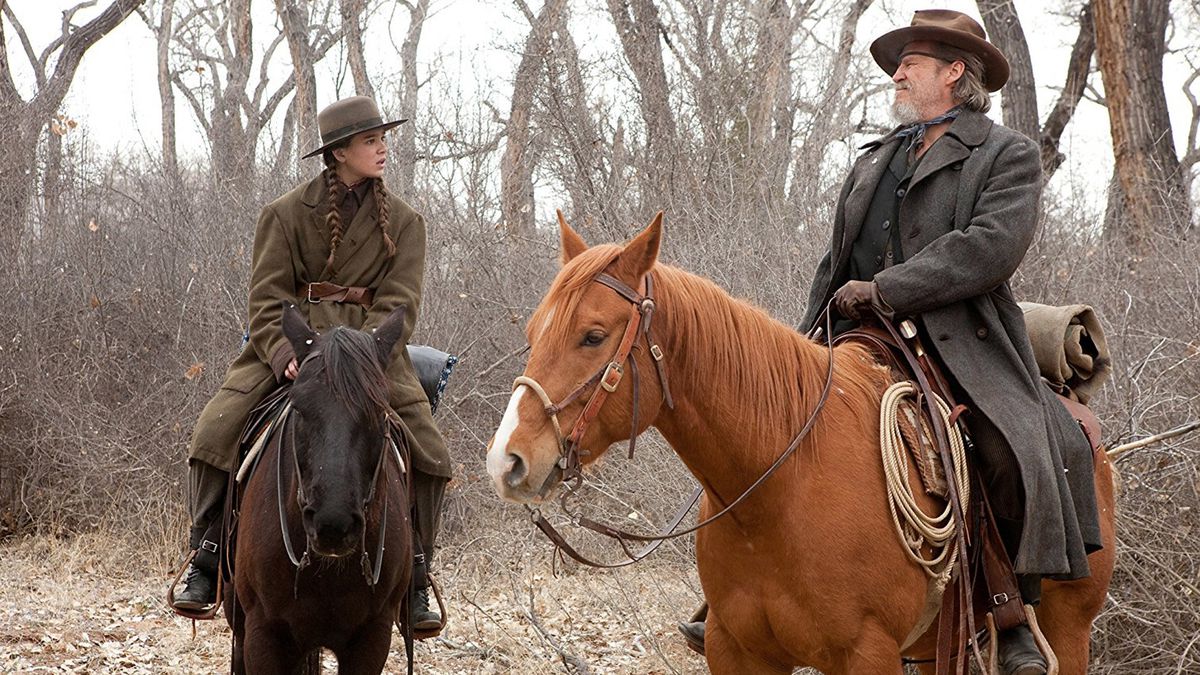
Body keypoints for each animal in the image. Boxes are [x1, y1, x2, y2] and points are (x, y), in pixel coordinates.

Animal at [485, 214, 1116, 674]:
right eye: (534, 332)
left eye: (593, 336)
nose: (507, 461)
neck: (780, 493)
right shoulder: (737, 654)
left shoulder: (866, 656)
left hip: (1067, 631)